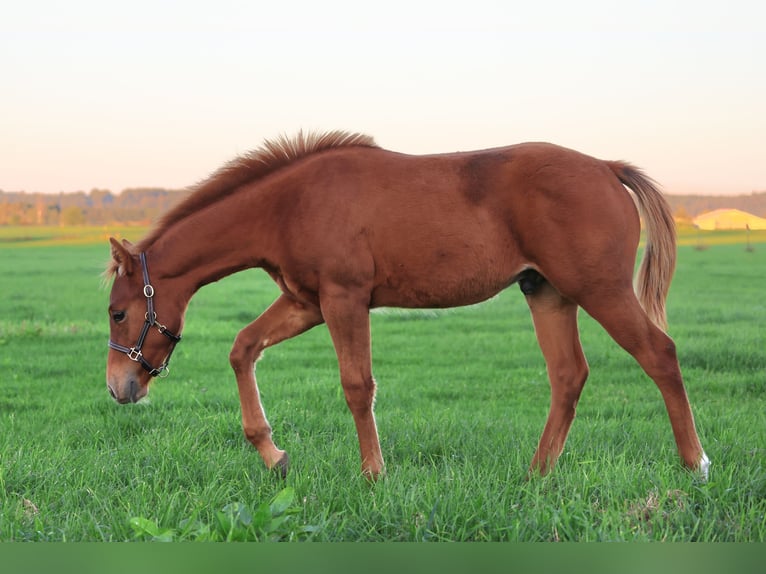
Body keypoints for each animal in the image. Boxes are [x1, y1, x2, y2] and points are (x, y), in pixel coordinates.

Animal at [104, 130, 709, 480]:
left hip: (600, 290)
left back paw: (695, 465)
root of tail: (606, 167)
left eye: (117, 312)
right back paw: (536, 474)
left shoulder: (344, 299)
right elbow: (243, 347)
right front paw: (273, 454)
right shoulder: (306, 302)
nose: (119, 388)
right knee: (569, 375)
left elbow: (357, 385)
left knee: (660, 355)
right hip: (548, 292)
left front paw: (374, 474)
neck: (290, 204)